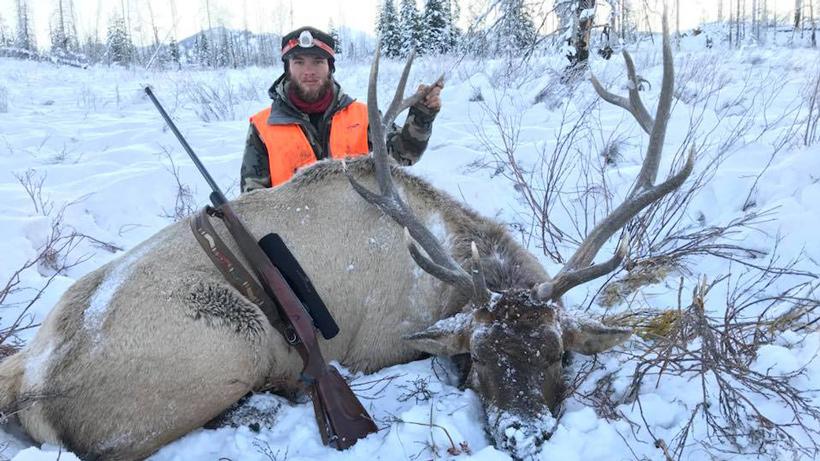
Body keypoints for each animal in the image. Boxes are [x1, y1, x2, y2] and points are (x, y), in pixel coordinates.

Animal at [0, 16, 690, 461]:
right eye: (478, 356)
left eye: (557, 352)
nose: (523, 435)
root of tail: (30, 385)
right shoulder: (382, 343)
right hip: (226, 341)